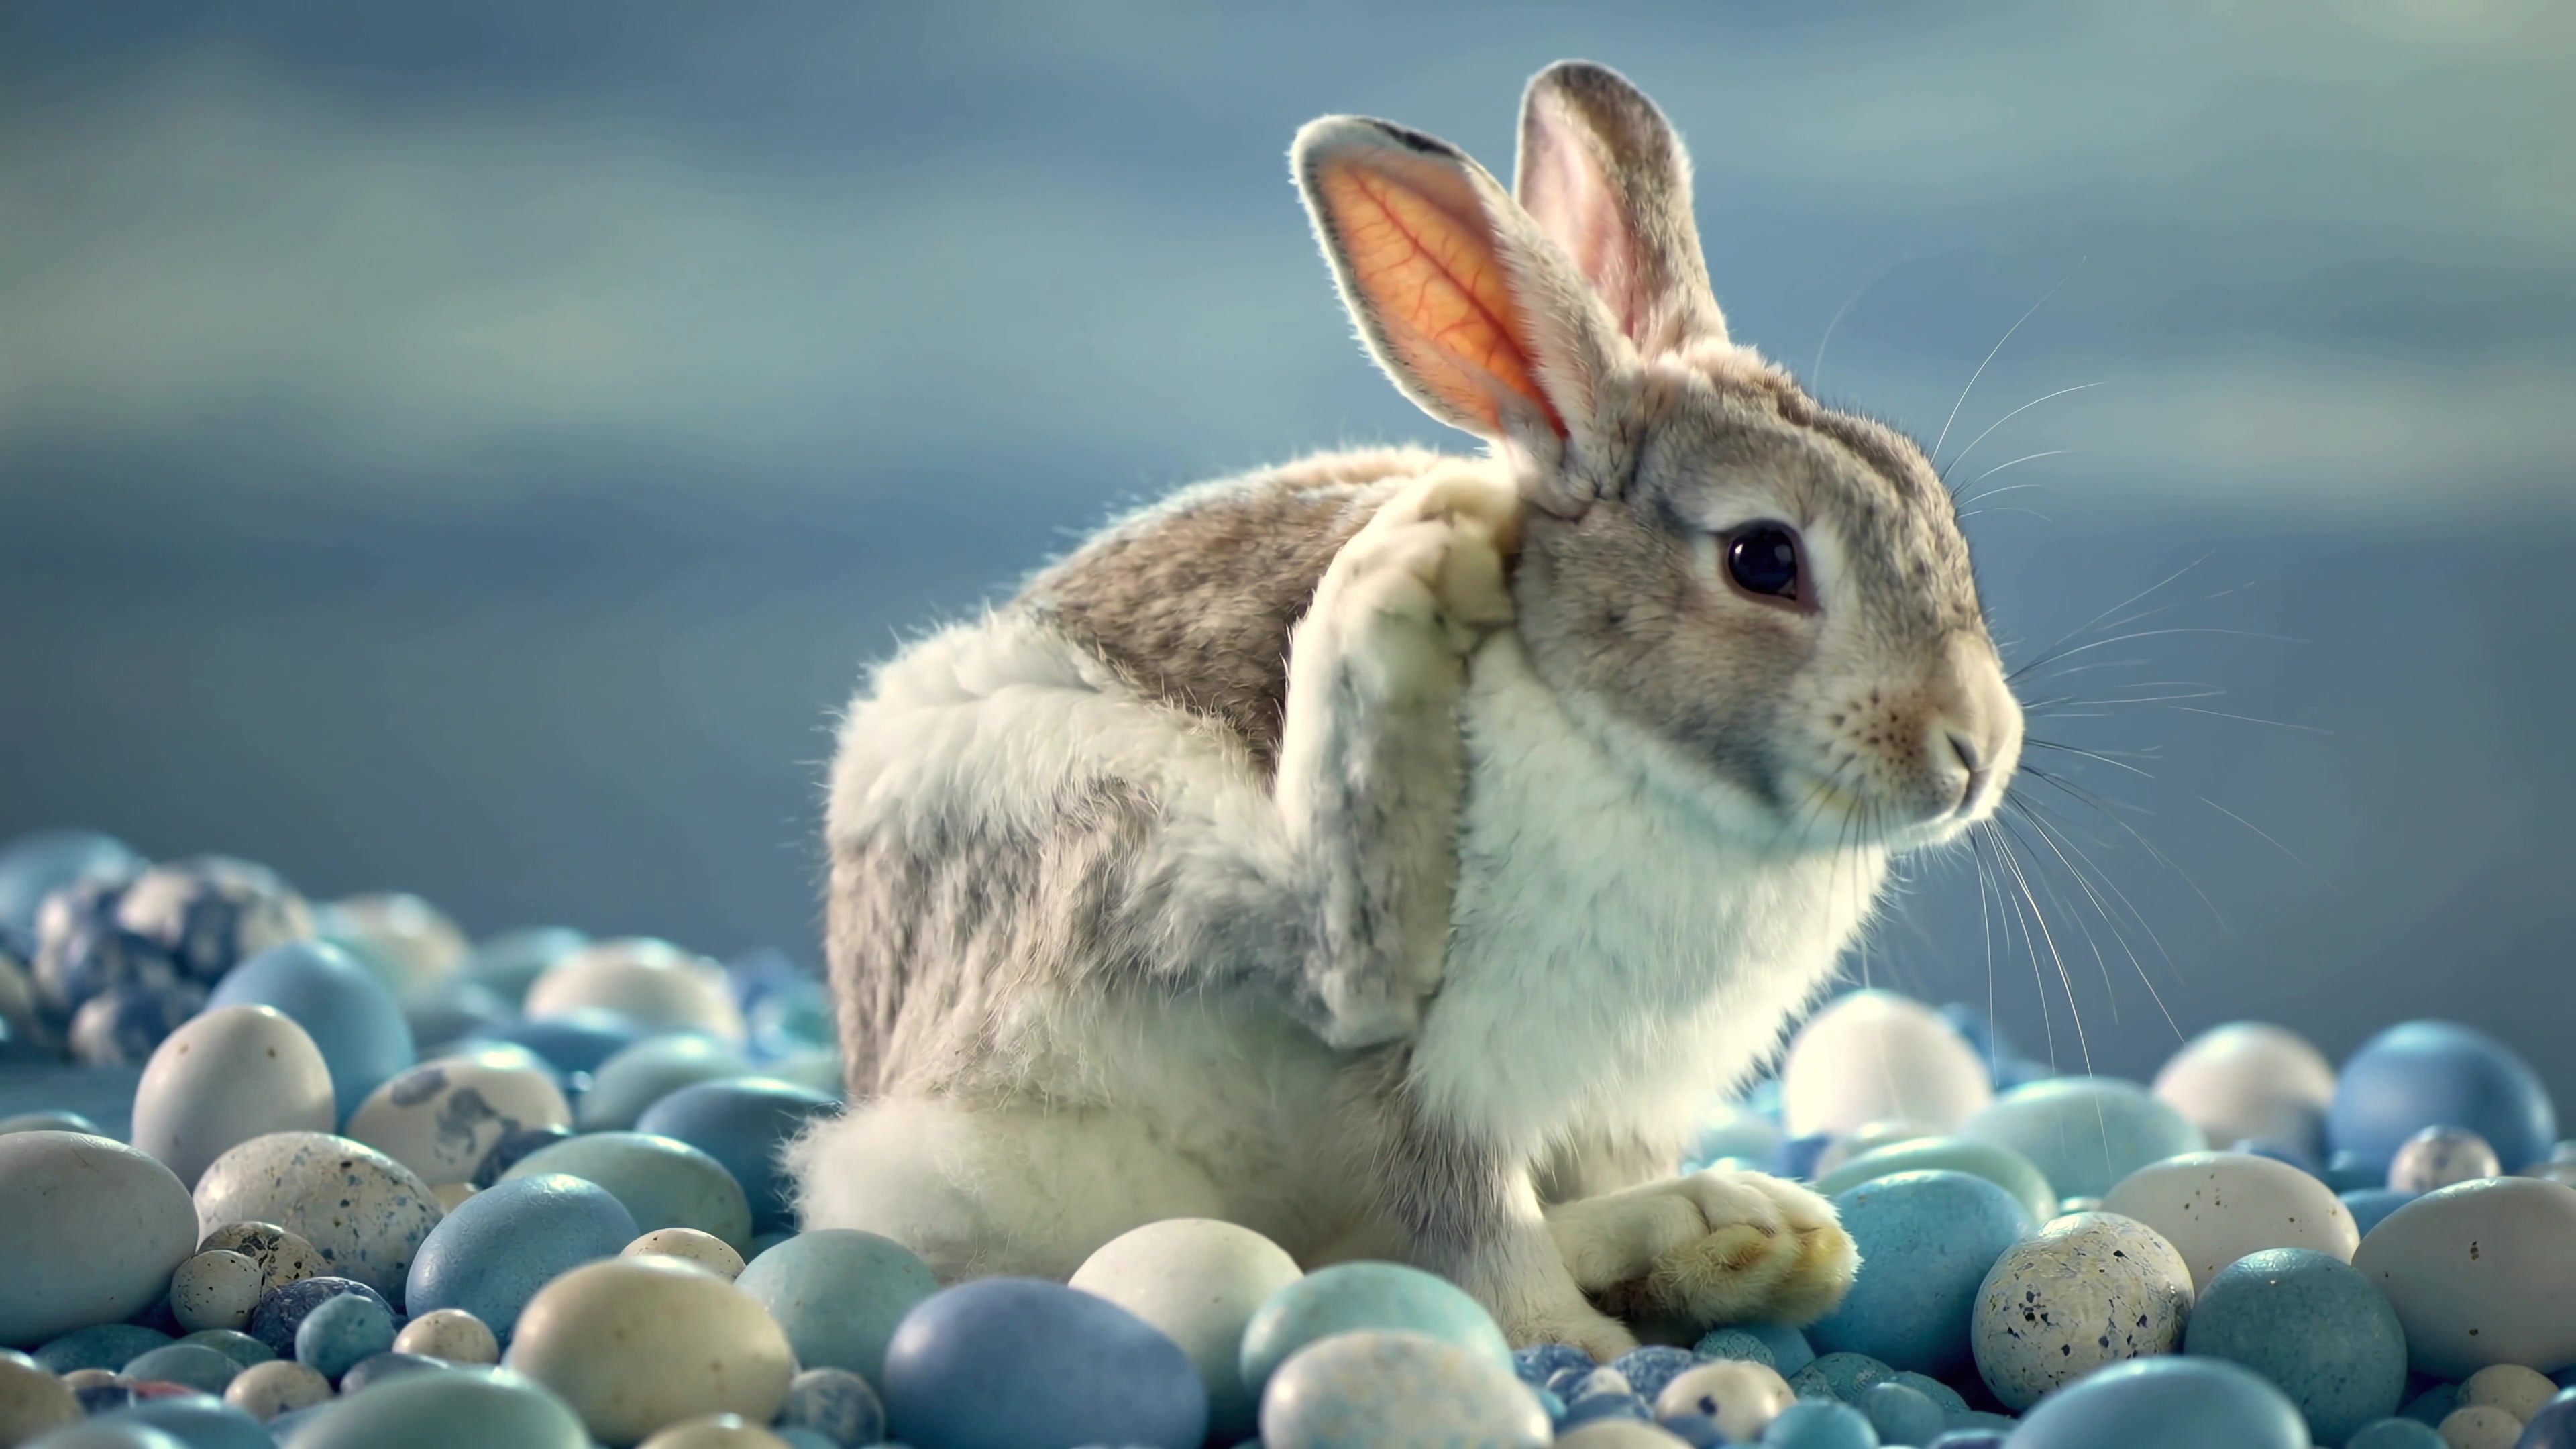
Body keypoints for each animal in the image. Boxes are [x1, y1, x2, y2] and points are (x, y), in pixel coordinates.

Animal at [787, 58, 2025, 1360]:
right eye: (1764, 560)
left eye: (1930, 504)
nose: (1977, 752)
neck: (1624, 743)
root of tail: (883, 1082)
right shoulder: (1440, 1087)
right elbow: (1474, 1229)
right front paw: (1578, 1347)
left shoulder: (1615, 1105)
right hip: (1116, 845)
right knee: (1336, 965)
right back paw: (1400, 588)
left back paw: (1741, 1238)